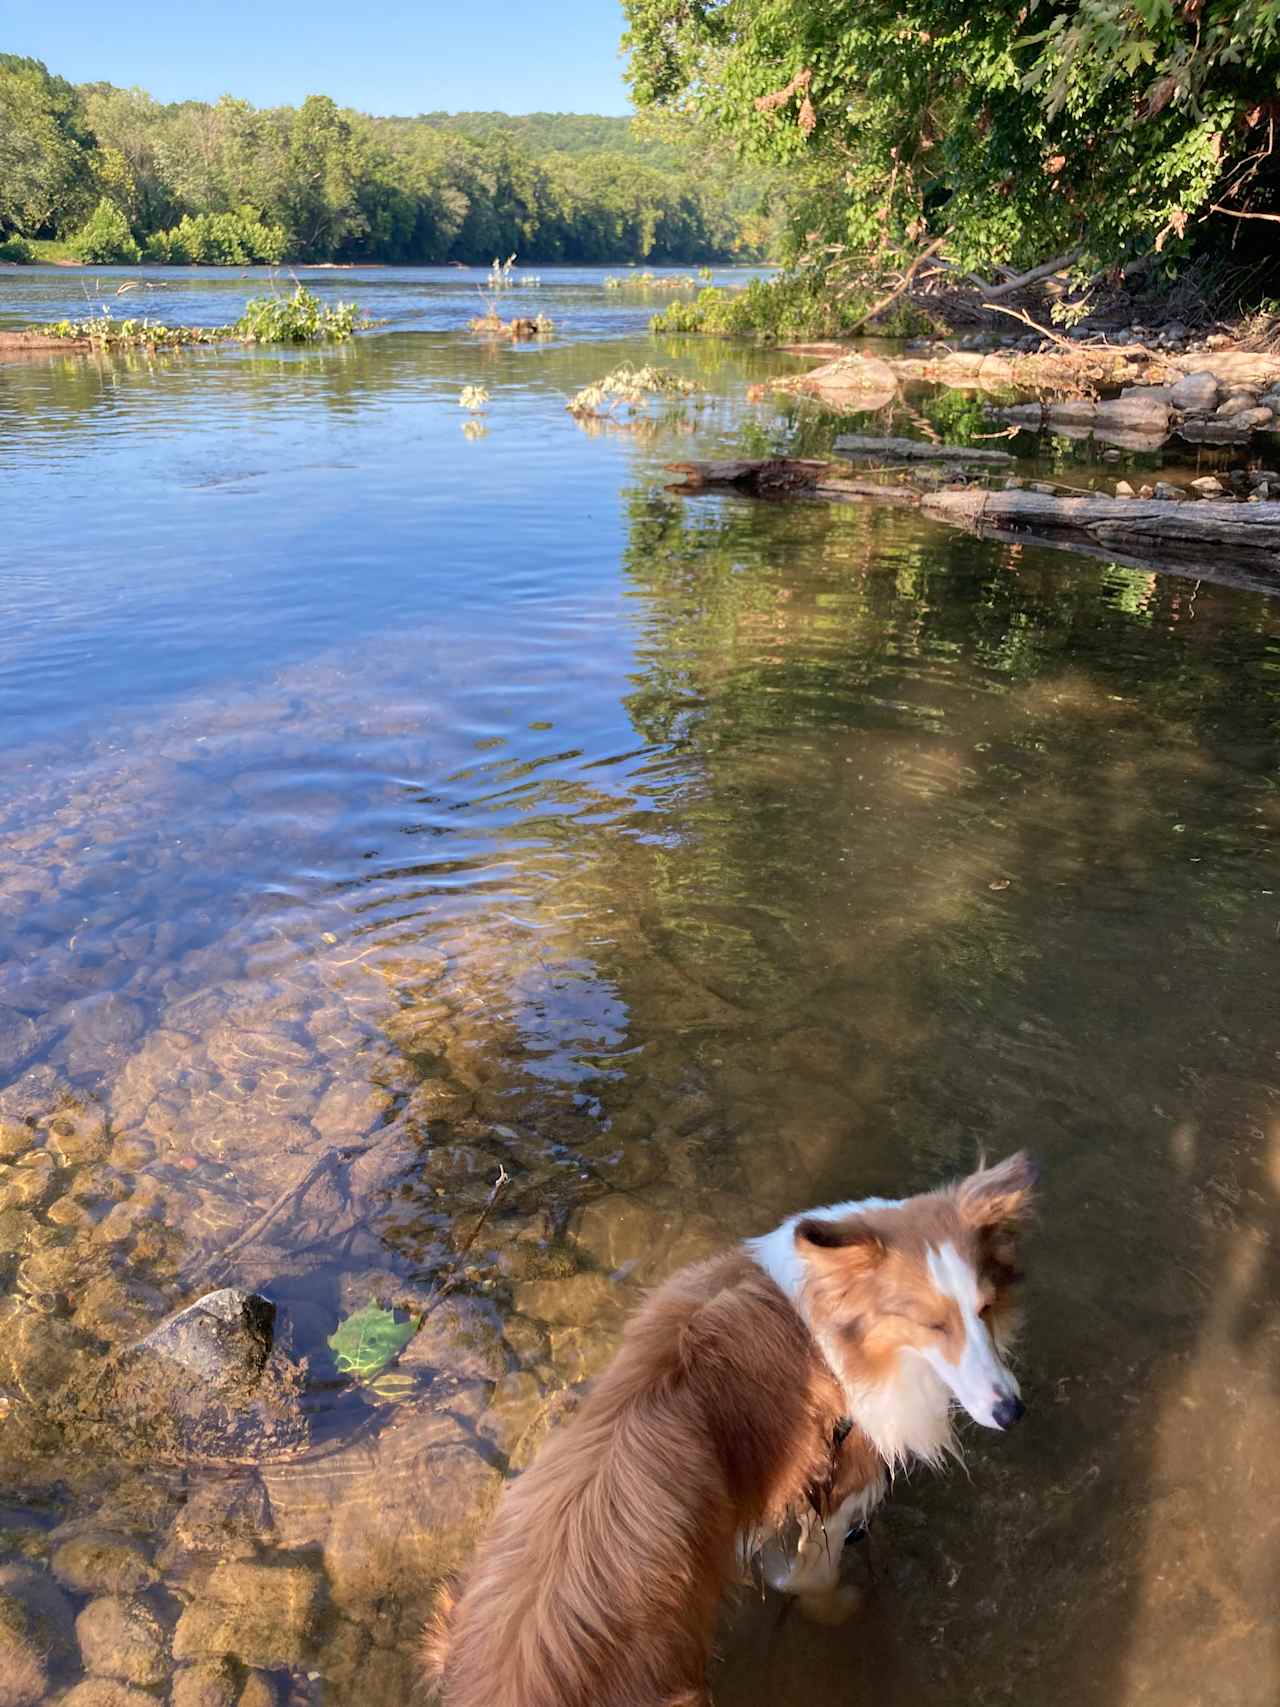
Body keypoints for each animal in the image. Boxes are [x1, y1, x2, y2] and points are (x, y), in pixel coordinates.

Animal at [431, 1147, 1044, 1707]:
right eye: (932, 1324)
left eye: (985, 1308)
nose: (1012, 1413)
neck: (827, 1331)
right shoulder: (834, 1490)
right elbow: (812, 1577)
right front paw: (841, 1607)